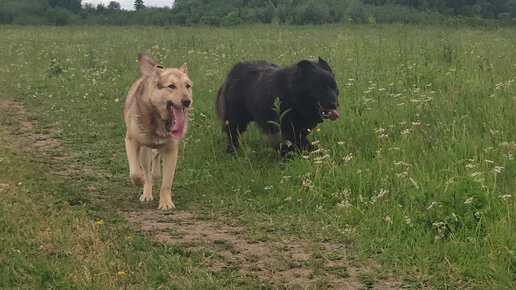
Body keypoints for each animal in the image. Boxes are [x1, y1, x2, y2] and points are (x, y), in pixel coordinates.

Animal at [124, 53, 192, 210]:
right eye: (171, 86)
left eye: (188, 86)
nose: (187, 101)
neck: (160, 119)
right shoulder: (131, 141)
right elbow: (135, 172)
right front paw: (140, 181)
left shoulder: (171, 150)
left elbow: (167, 182)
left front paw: (166, 202)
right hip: (144, 151)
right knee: (146, 169)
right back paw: (147, 191)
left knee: (155, 156)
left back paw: (156, 176)